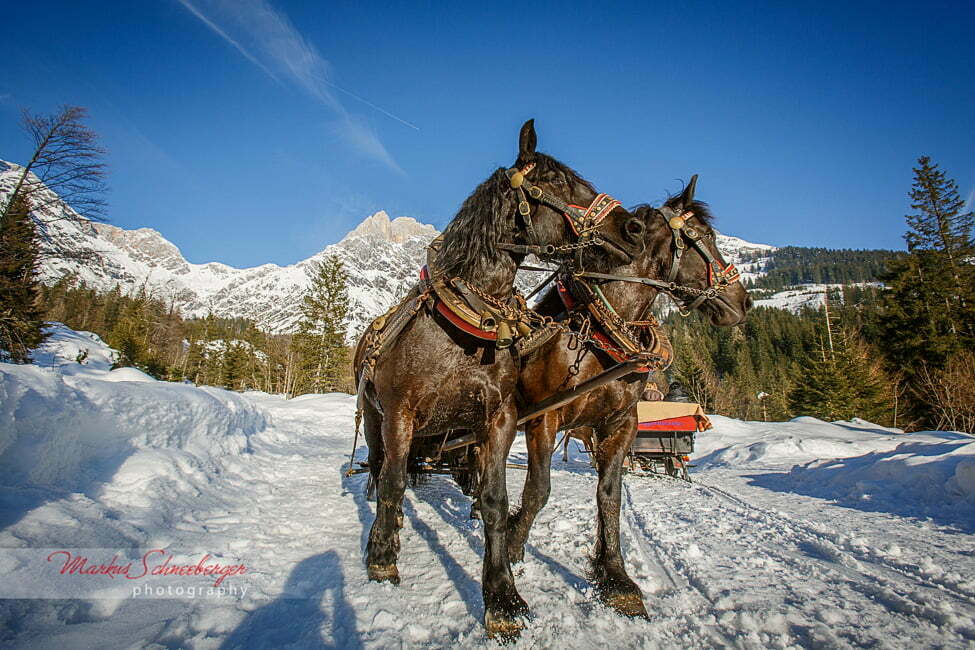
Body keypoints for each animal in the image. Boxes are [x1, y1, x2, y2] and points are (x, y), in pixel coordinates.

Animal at [352, 120, 648, 636]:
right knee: (378, 468)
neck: (470, 325)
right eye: (559, 182)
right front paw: (383, 556)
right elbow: (392, 483)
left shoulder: (499, 420)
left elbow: (495, 498)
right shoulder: (400, 415)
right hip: (373, 418)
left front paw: (502, 595)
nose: (631, 228)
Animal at [508, 177, 752, 616]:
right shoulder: (543, 419)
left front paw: (615, 576)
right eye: (704, 236)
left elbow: (610, 497)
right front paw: (512, 546)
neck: (599, 334)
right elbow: (537, 491)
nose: (744, 301)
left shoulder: (620, 424)